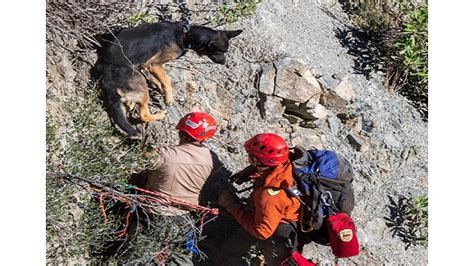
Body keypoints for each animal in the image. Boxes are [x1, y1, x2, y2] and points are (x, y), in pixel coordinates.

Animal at [93, 21, 241, 138]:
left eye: (225, 51)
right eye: (218, 51)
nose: (224, 63)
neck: (186, 34)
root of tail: (107, 80)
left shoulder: (151, 67)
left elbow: (161, 80)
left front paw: (159, 86)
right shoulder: (154, 64)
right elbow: (167, 81)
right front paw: (168, 98)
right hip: (140, 83)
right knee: (143, 115)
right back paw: (159, 115)